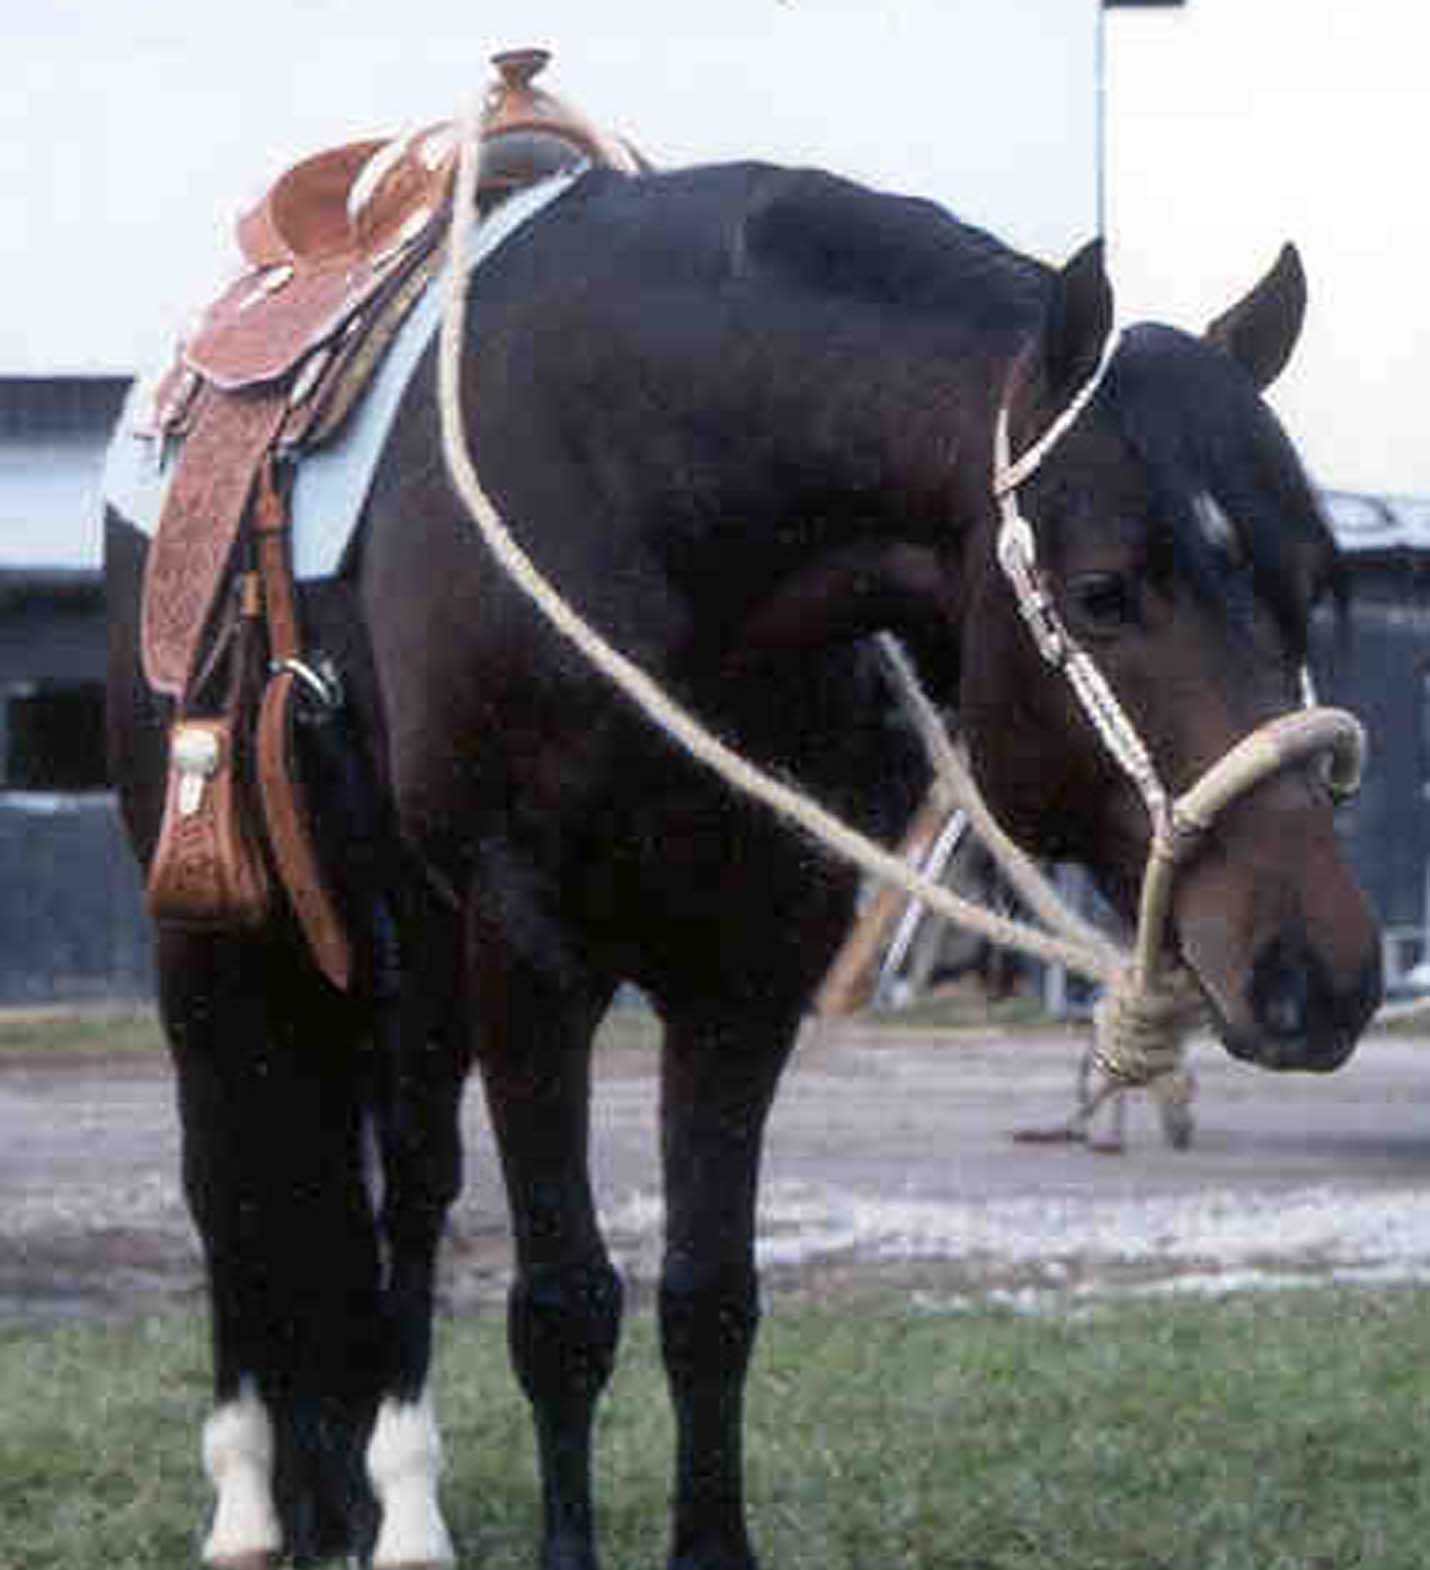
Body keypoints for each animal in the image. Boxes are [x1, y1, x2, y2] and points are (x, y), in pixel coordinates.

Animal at [105, 159, 1382, 1570]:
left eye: (1312, 582)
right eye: (1102, 593)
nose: (1317, 970)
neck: (653, 505)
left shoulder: (752, 966)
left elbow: (708, 1299)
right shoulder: (530, 950)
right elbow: (562, 1306)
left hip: (409, 956)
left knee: (411, 1185)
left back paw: (395, 1506)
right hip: (217, 931)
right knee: (227, 1182)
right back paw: (248, 1497)